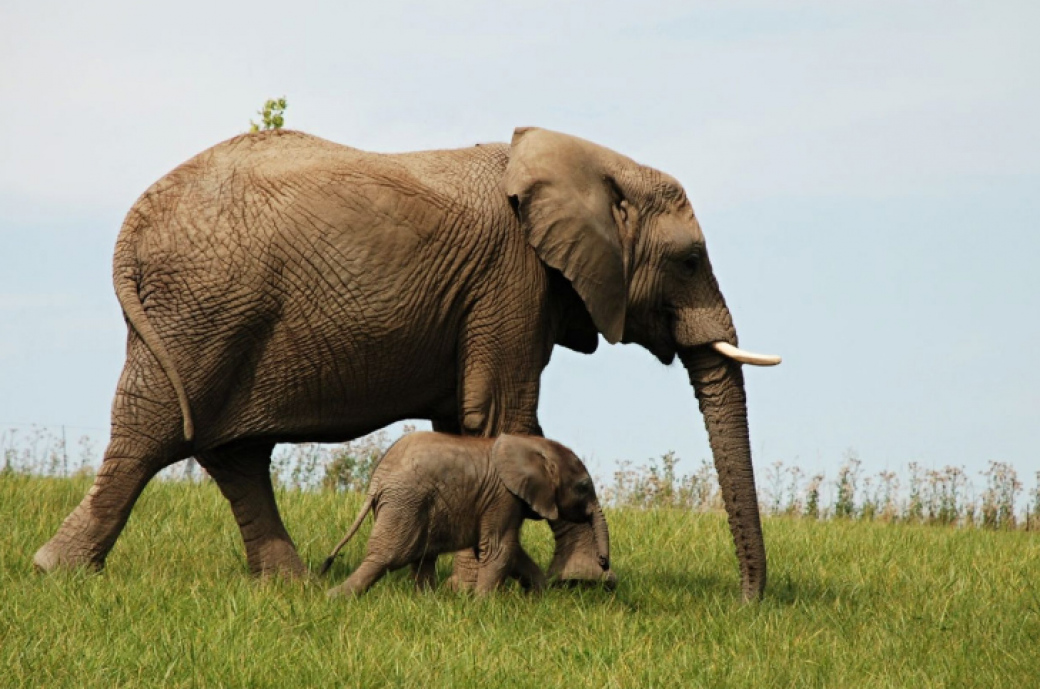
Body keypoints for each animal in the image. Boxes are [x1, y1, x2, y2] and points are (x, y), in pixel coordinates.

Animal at [320, 435, 607, 595]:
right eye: (583, 487)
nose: (603, 562)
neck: (532, 445)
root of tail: (378, 479)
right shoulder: (503, 496)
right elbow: (499, 548)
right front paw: (483, 607)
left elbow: (508, 551)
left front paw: (538, 597)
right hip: (405, 502)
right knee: (387, 556)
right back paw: (333, 598)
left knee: (421, 557)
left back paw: (427, 603)